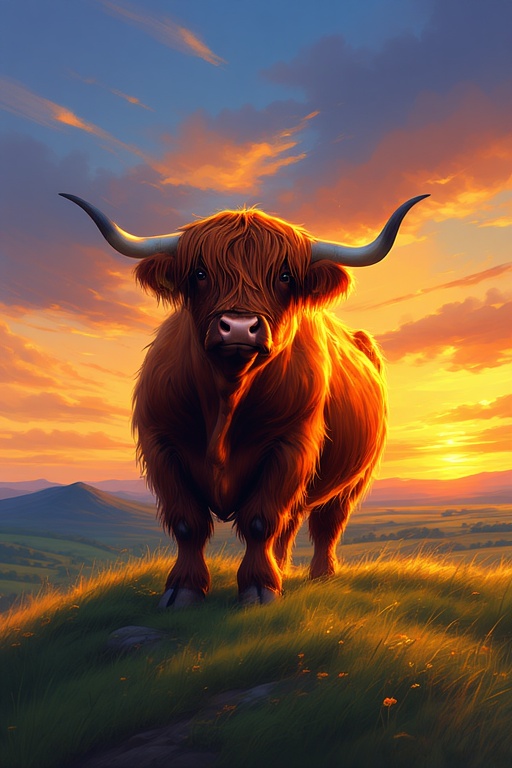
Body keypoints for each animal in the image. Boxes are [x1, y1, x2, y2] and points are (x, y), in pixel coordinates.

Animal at [60, 192, 428, 607]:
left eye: (285, 276)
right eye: (199, 273)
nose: (238, 327)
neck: (227, 396)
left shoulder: (290, 446)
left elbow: (259, 520)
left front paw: (259, 588)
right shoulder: (161, 446)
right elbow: (187, 523)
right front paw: (184, 589)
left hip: (352, 481)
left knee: (325, 523)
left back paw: (320, 575)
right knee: (291, 523)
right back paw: (282, 571)